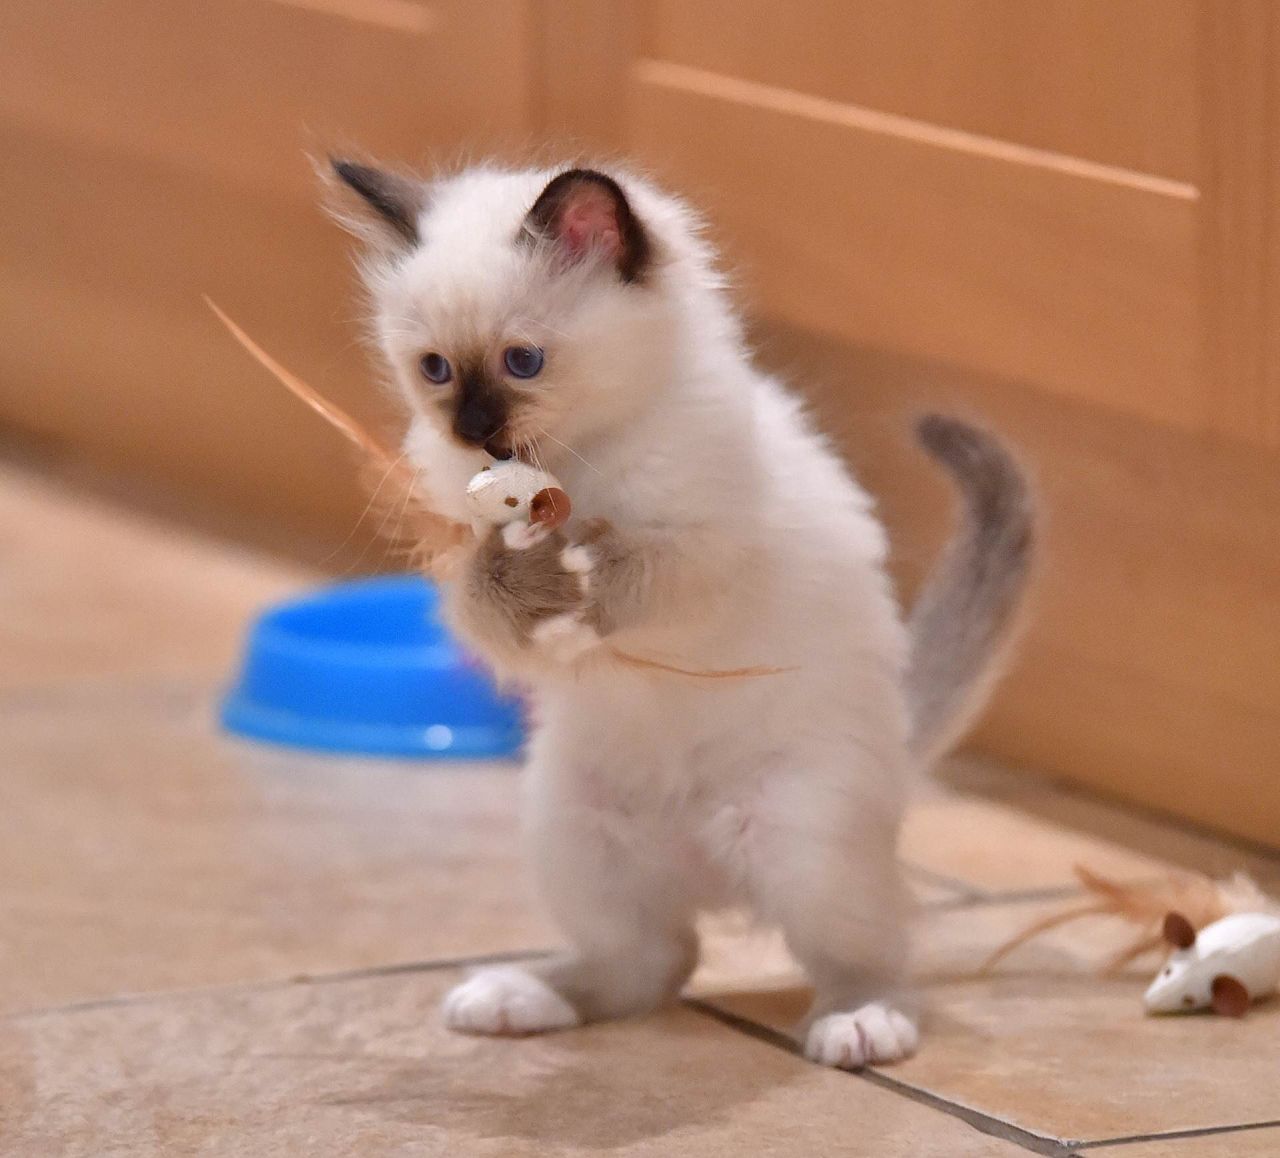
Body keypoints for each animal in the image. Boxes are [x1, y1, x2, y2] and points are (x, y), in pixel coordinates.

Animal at [327, 160, 1029, 1064]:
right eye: (436, 370)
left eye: (523, 361)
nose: (476, 433)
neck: (576, 463)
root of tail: (705, 861)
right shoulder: (463, 567)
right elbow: (490, 598)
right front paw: (528, 572)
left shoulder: (704, 559)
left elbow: (632, 573)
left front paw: (578, 572)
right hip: (572, 832)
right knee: (651, 965)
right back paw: (516, 997)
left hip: (801, 841)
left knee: (871, 953)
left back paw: (860, 1022)